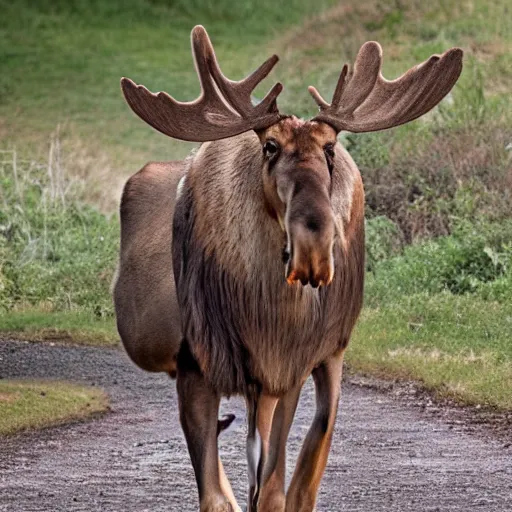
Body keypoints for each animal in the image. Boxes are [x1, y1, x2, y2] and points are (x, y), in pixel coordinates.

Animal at [113, 25, 464, 512]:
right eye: (270, 146)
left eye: (330, 148)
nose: (312, 247)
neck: (264, 315)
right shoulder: (196, 364)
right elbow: (218, 495)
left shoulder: (289, 369)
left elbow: (279, 486)